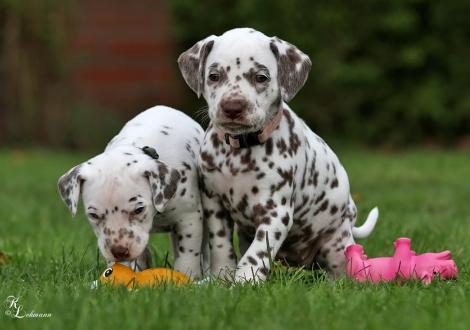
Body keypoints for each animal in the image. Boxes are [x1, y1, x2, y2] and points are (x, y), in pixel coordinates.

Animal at [57, 106, 205, 278]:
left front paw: (189, 277)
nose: (119, 251)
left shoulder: (189, 219)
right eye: (93, 215)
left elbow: (187, 258)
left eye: (139, 209)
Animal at [178, 27, 380, 282]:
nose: (233, 107)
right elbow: (222, 246)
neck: (240, 151)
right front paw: (222, 277)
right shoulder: (214, 203)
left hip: (335, 244)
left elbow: (257, 254)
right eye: (214, 76)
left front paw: (244, 281)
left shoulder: (275, 213)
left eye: (261, 77)